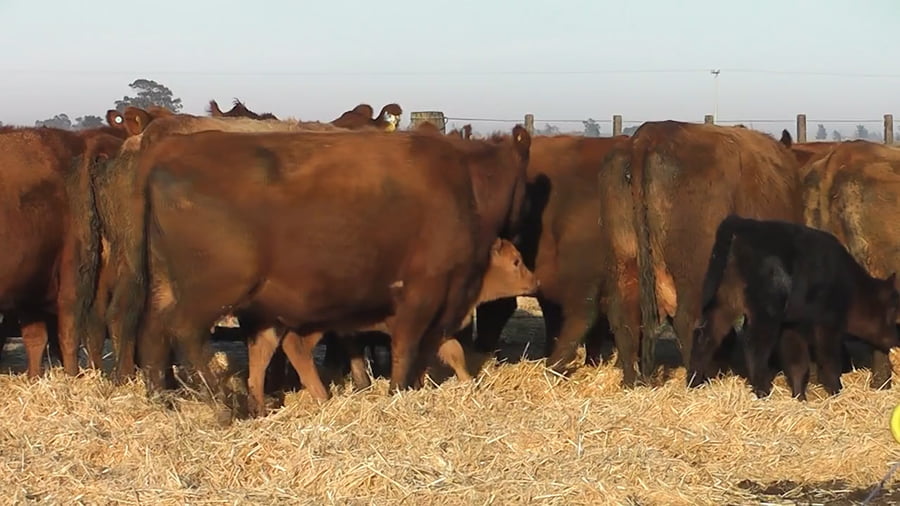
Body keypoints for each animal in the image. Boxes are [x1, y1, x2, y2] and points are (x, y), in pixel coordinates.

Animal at [246, 237, 540, 416]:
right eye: (515, 261)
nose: (536, 281)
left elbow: (449, 354)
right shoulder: (431, 329)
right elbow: (449, 353)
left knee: (263, 356)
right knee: (294, 348)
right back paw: (321, 396)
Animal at [595, 121, 803, 385]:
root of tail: (647, 136)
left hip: (624, 259)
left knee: (625, 317)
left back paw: (632, 381)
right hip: (694, 270)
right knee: (688, 319)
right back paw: (696, 379)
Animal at [688, 215, 899, 400]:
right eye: (894, 313)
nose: (894, 340)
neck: (852, 289)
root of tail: (743, 223)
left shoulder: (791, 325)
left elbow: (797, 364)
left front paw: (800, 397)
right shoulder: (827, 324)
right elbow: (829, 360)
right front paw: (836, 392)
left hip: (724, 302)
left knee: (706, 337)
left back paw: (693, 384)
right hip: (766, 312)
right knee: (754, 346)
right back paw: (762, 393)